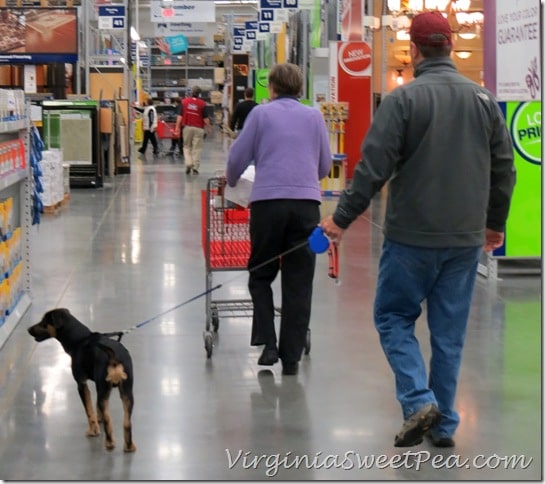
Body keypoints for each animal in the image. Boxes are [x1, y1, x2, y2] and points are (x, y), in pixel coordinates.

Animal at [27, 308, 136, 452]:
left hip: (106, 390)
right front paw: (98, 419)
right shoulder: (99, 387)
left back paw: (109, 443)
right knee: (127, 422)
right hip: (126, 393)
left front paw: (93, 431)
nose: (28, 329)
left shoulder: (81, 384)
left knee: (109, 420)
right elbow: (96, 408)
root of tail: (114, 359)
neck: (80, 339)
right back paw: (129, 447)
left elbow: (89, 410)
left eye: (44, 321)